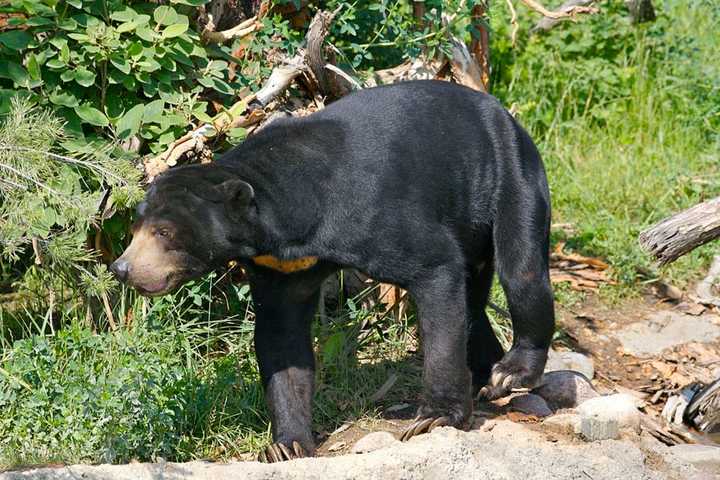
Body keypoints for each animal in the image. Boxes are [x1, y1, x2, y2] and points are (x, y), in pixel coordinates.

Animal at [109, 80, 556, 464]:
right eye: (136, 228)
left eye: (164, 232)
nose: (122, 269)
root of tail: (504, 113)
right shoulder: (279, 267)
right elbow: (282, 341)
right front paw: (286, 446)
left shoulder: (371, 212)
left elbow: (435, 268)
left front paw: (435, 417)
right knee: (474, 303)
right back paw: (486, 375)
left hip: (512, 176)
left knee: (522, 272)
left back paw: (510, 372)